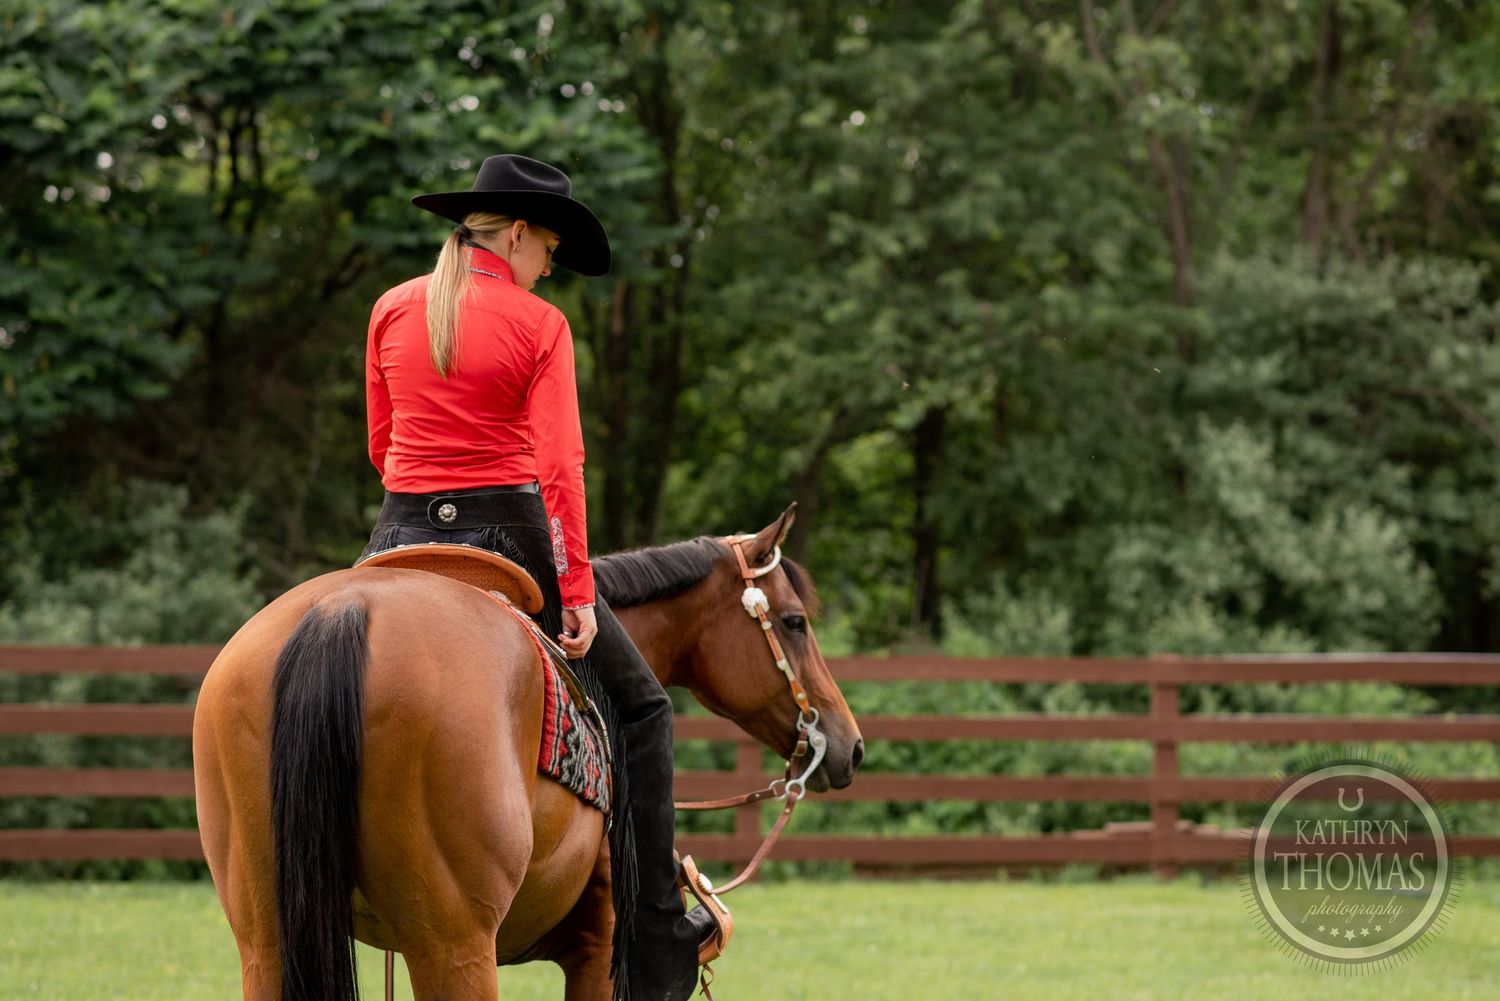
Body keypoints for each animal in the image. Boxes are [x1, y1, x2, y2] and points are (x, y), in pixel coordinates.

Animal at [192, 505, 863, 1001]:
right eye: (796, 622)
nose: (848, 745)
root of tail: (343, 611)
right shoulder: (598, 948)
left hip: (268, 941)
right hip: (453, 948)